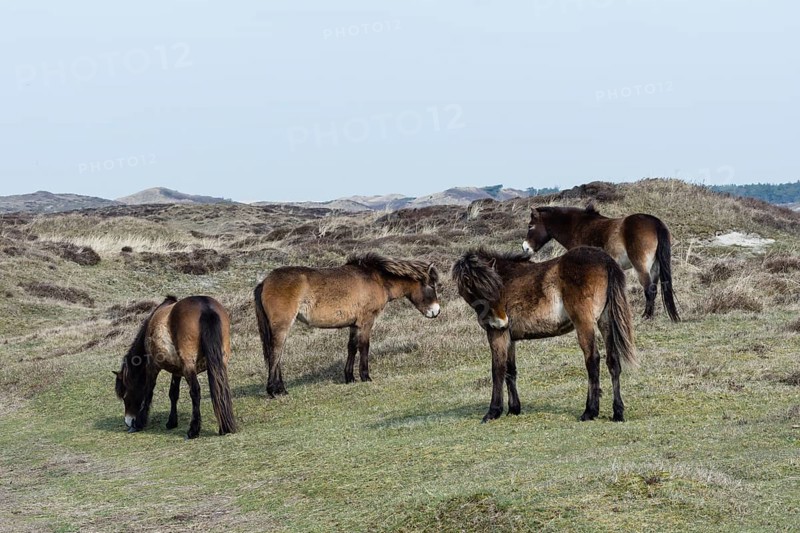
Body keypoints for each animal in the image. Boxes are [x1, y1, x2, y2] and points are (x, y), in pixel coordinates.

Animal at [114, 295, 237, 439]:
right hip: (219, 363)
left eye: (124, 395)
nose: (128, 421)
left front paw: (139, 423)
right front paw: (172, 422)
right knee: (220, 388)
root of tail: (205, 306)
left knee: (195, 392)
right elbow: (173, 394)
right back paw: (224, 427)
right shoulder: (177, 371)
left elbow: (148, 391)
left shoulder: (152, 366)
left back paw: (193, 430)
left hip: (189, 367)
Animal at [253, 253, 441, 397]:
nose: (436, 311)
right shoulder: (366, 321)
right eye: (431, 285)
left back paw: (280, 389)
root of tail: (264, 282)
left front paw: (349, 377)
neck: (377, 279)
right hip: (282, 326)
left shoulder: (354, 324)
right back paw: (274, 390)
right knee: (275, 353)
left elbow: (351, 347)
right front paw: (365, 376)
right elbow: (364, 346)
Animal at [452, 247, 637, 423]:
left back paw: (589, 411)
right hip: (605, 321)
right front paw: (513, 409)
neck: (507, 277)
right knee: (613, 361)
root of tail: (605, 259)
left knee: (593, 360)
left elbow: (497, 369)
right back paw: (617, 412)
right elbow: (510, 370)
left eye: (496, 288)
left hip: (584, 323)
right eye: (479, 292)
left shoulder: (497, 334)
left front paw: (493, 412)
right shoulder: (510, 338)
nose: (503, 321)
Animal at [522, 205, 680, 322]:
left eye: (530, 226)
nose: (525, 248)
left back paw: (646, 316)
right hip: (654, 267)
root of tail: (655, 223)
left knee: (649, 289)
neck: (578, 227)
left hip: (641, 267)